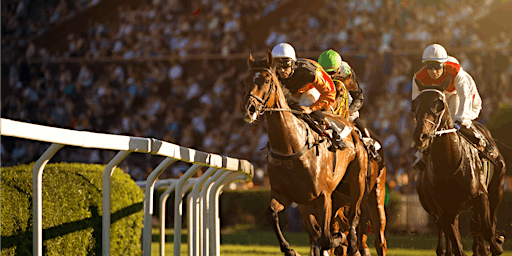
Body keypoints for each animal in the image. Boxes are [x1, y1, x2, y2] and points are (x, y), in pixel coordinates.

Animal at [242, 49, 370, 255]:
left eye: (267, 81)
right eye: (246, 80)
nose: (249, 109)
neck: (291, 145)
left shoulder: (323, 197)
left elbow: (325, 238)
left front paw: (338, 239)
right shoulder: (284, 195)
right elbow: (271, 214)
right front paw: (290, 249)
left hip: (356, 182)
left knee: (353, 216)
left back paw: (351, 243)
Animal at [410, 77, 506, 255]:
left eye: (439, 104)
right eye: (415, 105)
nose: (421, 136)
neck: (449, 164)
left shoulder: (481, 196)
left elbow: (487, 230)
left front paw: (496, 243)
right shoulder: (443, 210)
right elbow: (457, 244)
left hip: (498, 187)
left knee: (488, 220)